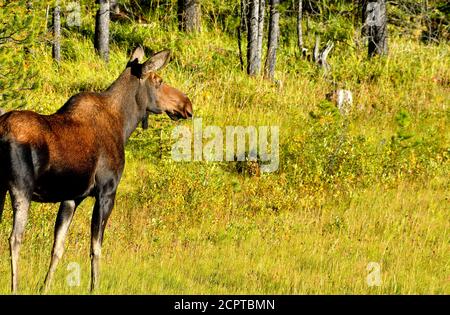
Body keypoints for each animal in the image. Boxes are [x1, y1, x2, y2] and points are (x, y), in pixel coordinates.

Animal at [0, 45, 192, 294]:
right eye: (159, 80)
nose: (187, 105)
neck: (124, 125)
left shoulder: (71, 197)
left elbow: (58, 247)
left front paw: (45, 287)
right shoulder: (106, 192)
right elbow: (96, 248)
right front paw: (94, 287)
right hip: (20, 188)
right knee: (15, 238)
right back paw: (14, 287)